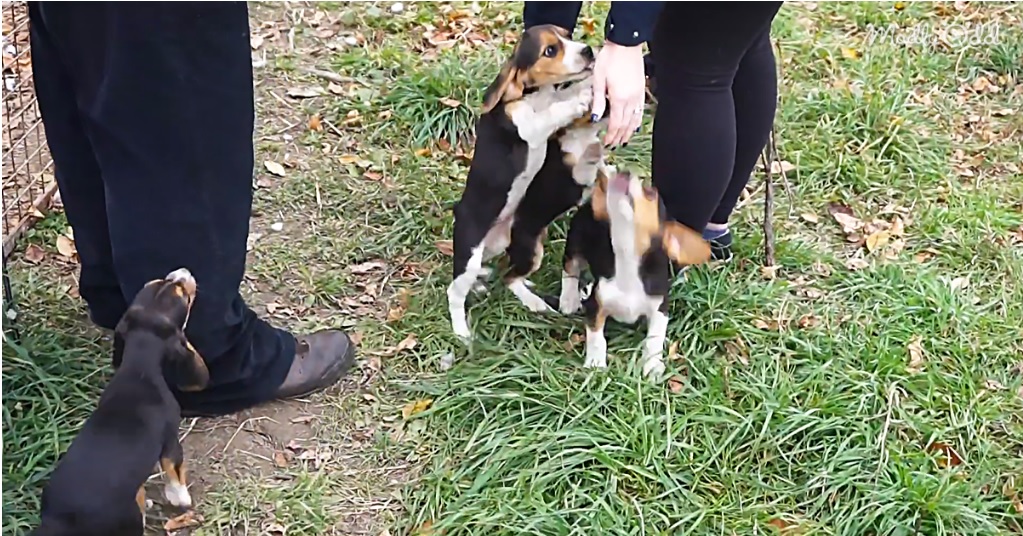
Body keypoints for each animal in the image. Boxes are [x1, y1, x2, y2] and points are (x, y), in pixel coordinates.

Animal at [30, 268, 209, 536]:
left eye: (156, 282)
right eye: (181, 293)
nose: (181, 272)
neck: (139, 368)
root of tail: (59, 520)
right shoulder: (170, 441)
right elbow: (175, 473)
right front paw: (181, 498)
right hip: (130, 521)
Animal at [446, 23, 605, 341]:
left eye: (567, 35)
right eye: (550, 50)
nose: (588, 51)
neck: (538, 96)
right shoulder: (528, 126)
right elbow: (551, 114)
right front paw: (580, 98)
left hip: (507, 246)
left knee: (504, 271)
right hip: (472, 254)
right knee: (455, 290)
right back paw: (461, 330)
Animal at [560, 169, 712, 378]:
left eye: (651, 193)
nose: (624, 171)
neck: (626, 256)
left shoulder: (660, 308)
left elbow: (655, 338)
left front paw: (652, 366)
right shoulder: (595, 306)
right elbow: (597, 338)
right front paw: (595, 363)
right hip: (575, 246)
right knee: (570, 270)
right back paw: (568, 299)